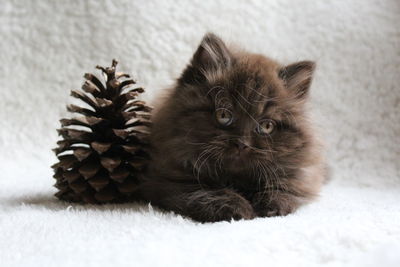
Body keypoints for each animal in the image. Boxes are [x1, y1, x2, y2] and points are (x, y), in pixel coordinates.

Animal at [138, 32, 324, 223]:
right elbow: (205, 191)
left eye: (266, 126)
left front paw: (271, 205)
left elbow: (287, 188)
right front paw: (237, 207)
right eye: (224, 115)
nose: (242, 144)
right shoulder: (164, 179)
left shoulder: (303, 177)